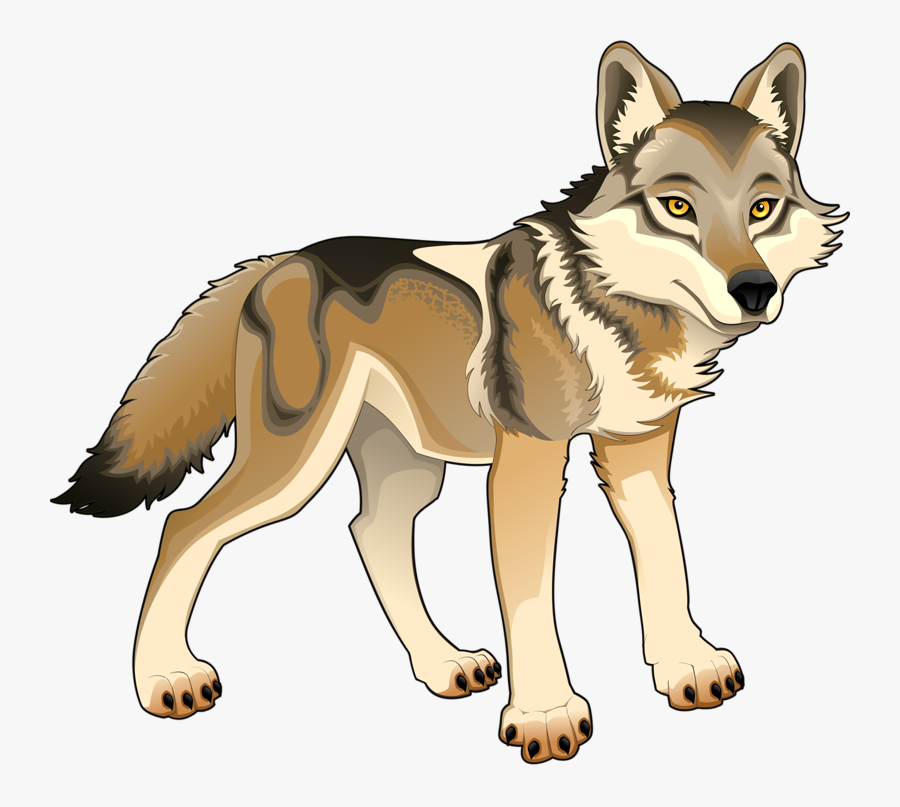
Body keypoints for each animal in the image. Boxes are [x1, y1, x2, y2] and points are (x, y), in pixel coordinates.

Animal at [54, 42, 844, 763]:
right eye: (678, 206)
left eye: (763, 208)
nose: (754, 289)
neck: (612, 308)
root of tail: (281, 260)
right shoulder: (527, 464)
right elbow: (530, 600)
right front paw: (546, 715)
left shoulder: (638, 450)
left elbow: (666, 561)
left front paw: (688, 666)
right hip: (294, 468)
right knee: (184, 526)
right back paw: (165, 680)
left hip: (408, 470)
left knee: (369, 532)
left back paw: (442, 665)